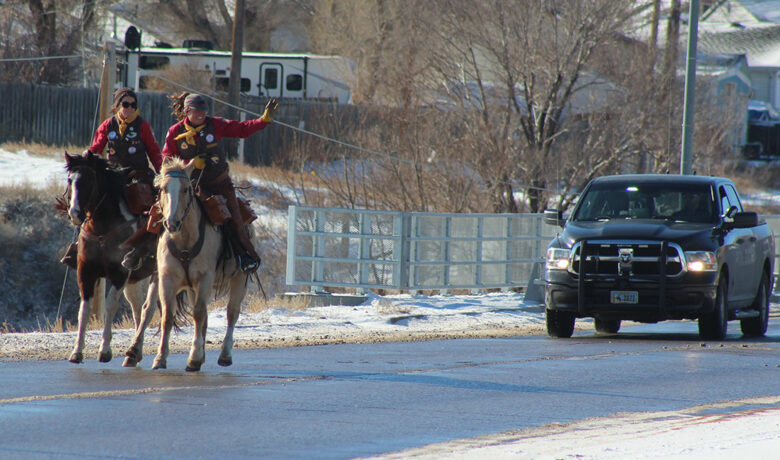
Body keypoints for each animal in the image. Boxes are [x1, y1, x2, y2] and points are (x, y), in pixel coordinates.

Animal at [64, 151, 157, 363]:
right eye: (70, 180)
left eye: (88, 180)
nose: (75, 214)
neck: (102, 230)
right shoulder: (86, 273)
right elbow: (84, 310)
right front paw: (77, 351)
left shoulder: (119, 274)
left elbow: (110, 306)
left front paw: (105, 350)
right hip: (134, 281)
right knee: (138, 308)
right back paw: (134, 353)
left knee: (148, 309)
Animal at [139, 157, 250, 371]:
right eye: (163, 189)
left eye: (186, 189)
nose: (171, 223)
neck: (184, 239)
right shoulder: (167, 278)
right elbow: (168, 315)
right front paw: (160, 358)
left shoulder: (204, 278)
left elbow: (199, 314)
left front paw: (194, 357)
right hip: (191, 288)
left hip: (239, 278)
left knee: (232, 313)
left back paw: (225, 355)